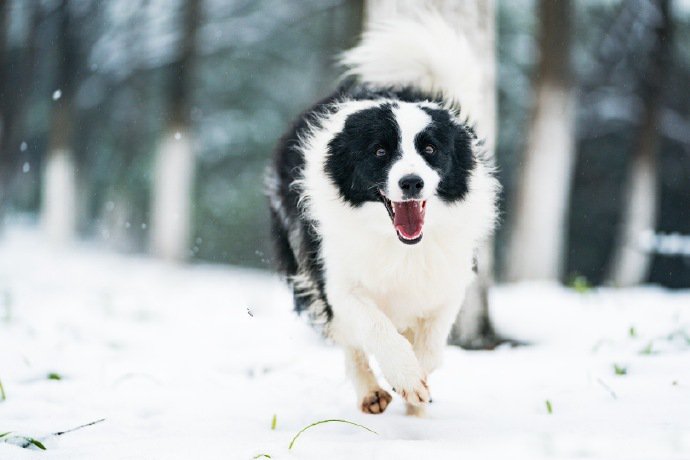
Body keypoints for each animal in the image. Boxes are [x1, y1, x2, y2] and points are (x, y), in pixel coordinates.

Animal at [266, 10, 498, 416]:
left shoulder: (448, 280)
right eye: (379, 151)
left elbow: (432, 344)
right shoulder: (337, 280)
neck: (398, 244)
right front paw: (405, 378)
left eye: (430, 149)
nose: (411, 182)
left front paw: (417, 387)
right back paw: (371, 392)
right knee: (349, 340)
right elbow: (373, 327)